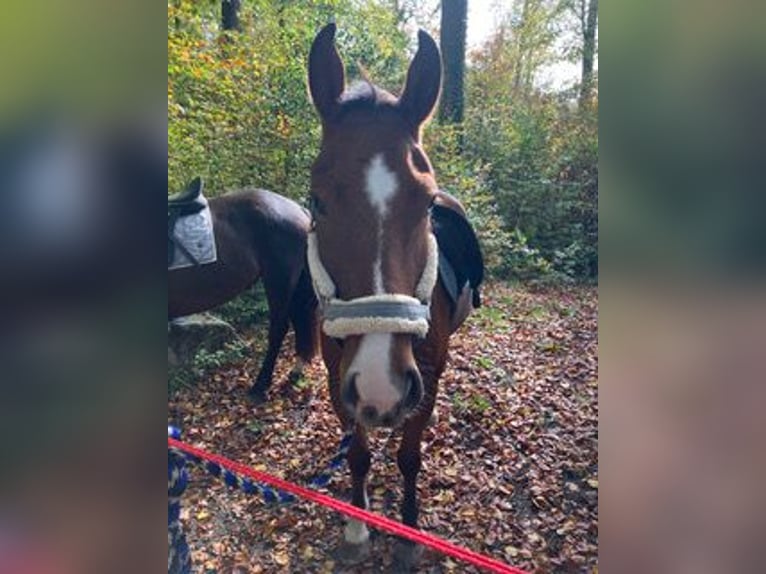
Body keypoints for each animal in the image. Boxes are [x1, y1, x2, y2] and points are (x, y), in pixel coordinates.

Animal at [308, 23, 484, 572]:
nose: (381, 388)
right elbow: (359, 454)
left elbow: (408, 457)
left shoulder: (425, 380)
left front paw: (407, 532)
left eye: (426, 203)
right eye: (316, 200)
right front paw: (358, 525)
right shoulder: (339, 379)